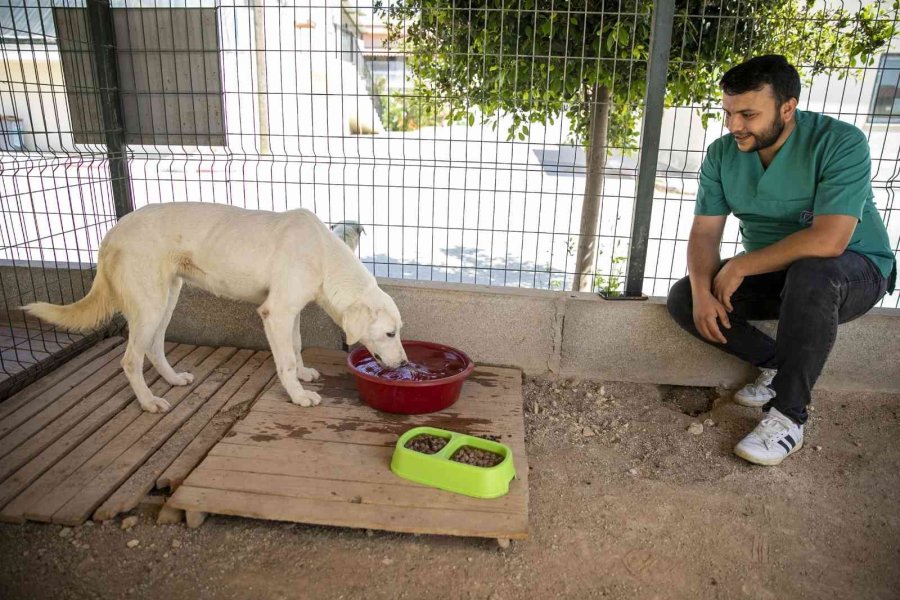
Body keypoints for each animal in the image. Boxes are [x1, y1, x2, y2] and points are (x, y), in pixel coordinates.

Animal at [21, 202, 408, 412]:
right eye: (390, 333)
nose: (405, 365)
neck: (323, 255)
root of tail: (113, 231)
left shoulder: (291, 310)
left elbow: (296, 346)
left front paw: (302, 373)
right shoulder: (275, 314)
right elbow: (283, 360)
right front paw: (298, 395)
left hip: (167, 299)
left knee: (154, 347)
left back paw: (173, 380)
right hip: (149, 305)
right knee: (130, 360)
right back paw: (148, 402)